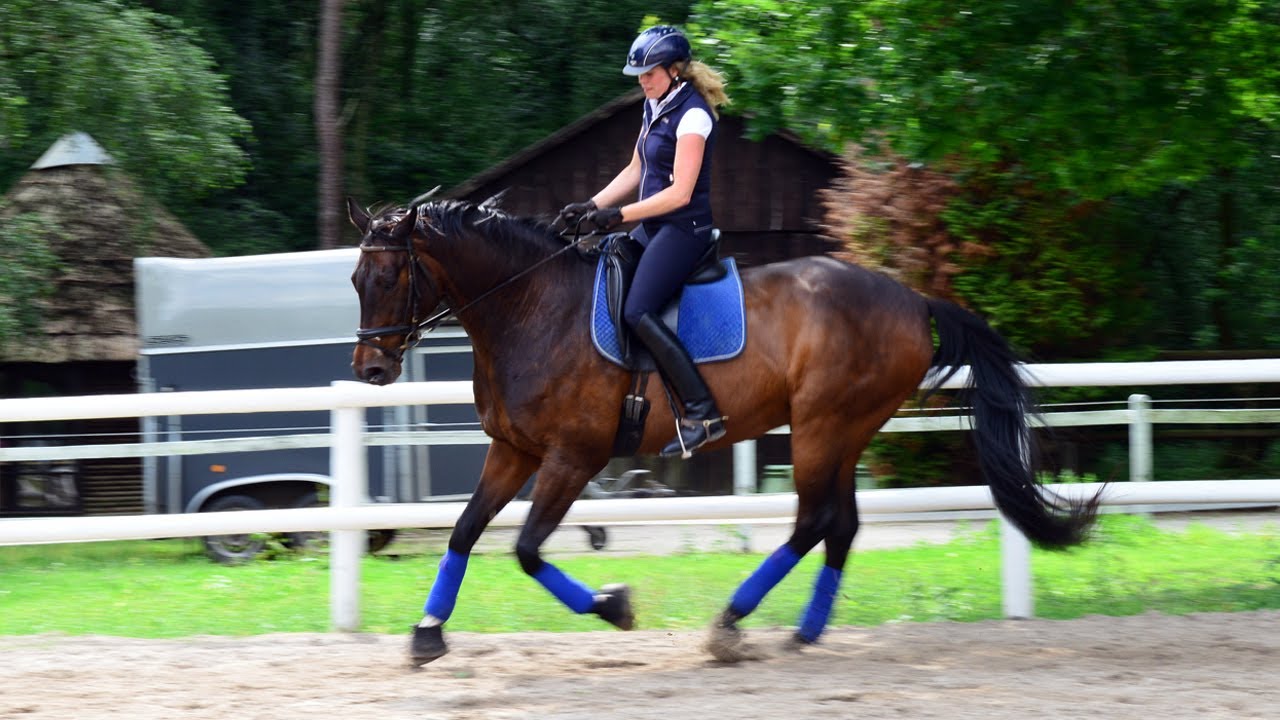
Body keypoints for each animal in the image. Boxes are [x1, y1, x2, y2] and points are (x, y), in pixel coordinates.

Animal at [346, 197, 1100, 666]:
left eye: (387, 277)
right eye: (356, 278)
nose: (372, 369)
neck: (532, 308)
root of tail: (912, 299)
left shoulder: (573, 456)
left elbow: (528, 550)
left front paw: (615, 606)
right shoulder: (514, 450)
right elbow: (465, 531)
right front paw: (426, 635)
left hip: (823, 426)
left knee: (811, 521)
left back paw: (730, 626)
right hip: (844, 430)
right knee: (841, 525)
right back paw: (804, 632)